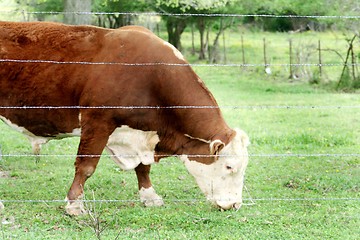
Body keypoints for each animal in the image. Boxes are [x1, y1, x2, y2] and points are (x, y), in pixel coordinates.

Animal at [0, 21, 249, 216]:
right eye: (229, 166)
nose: (235, 204)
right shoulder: (97, 122)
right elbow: (86, 166)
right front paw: (74, 205)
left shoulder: (143, 132)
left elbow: (143, 168)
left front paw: (150, 197)